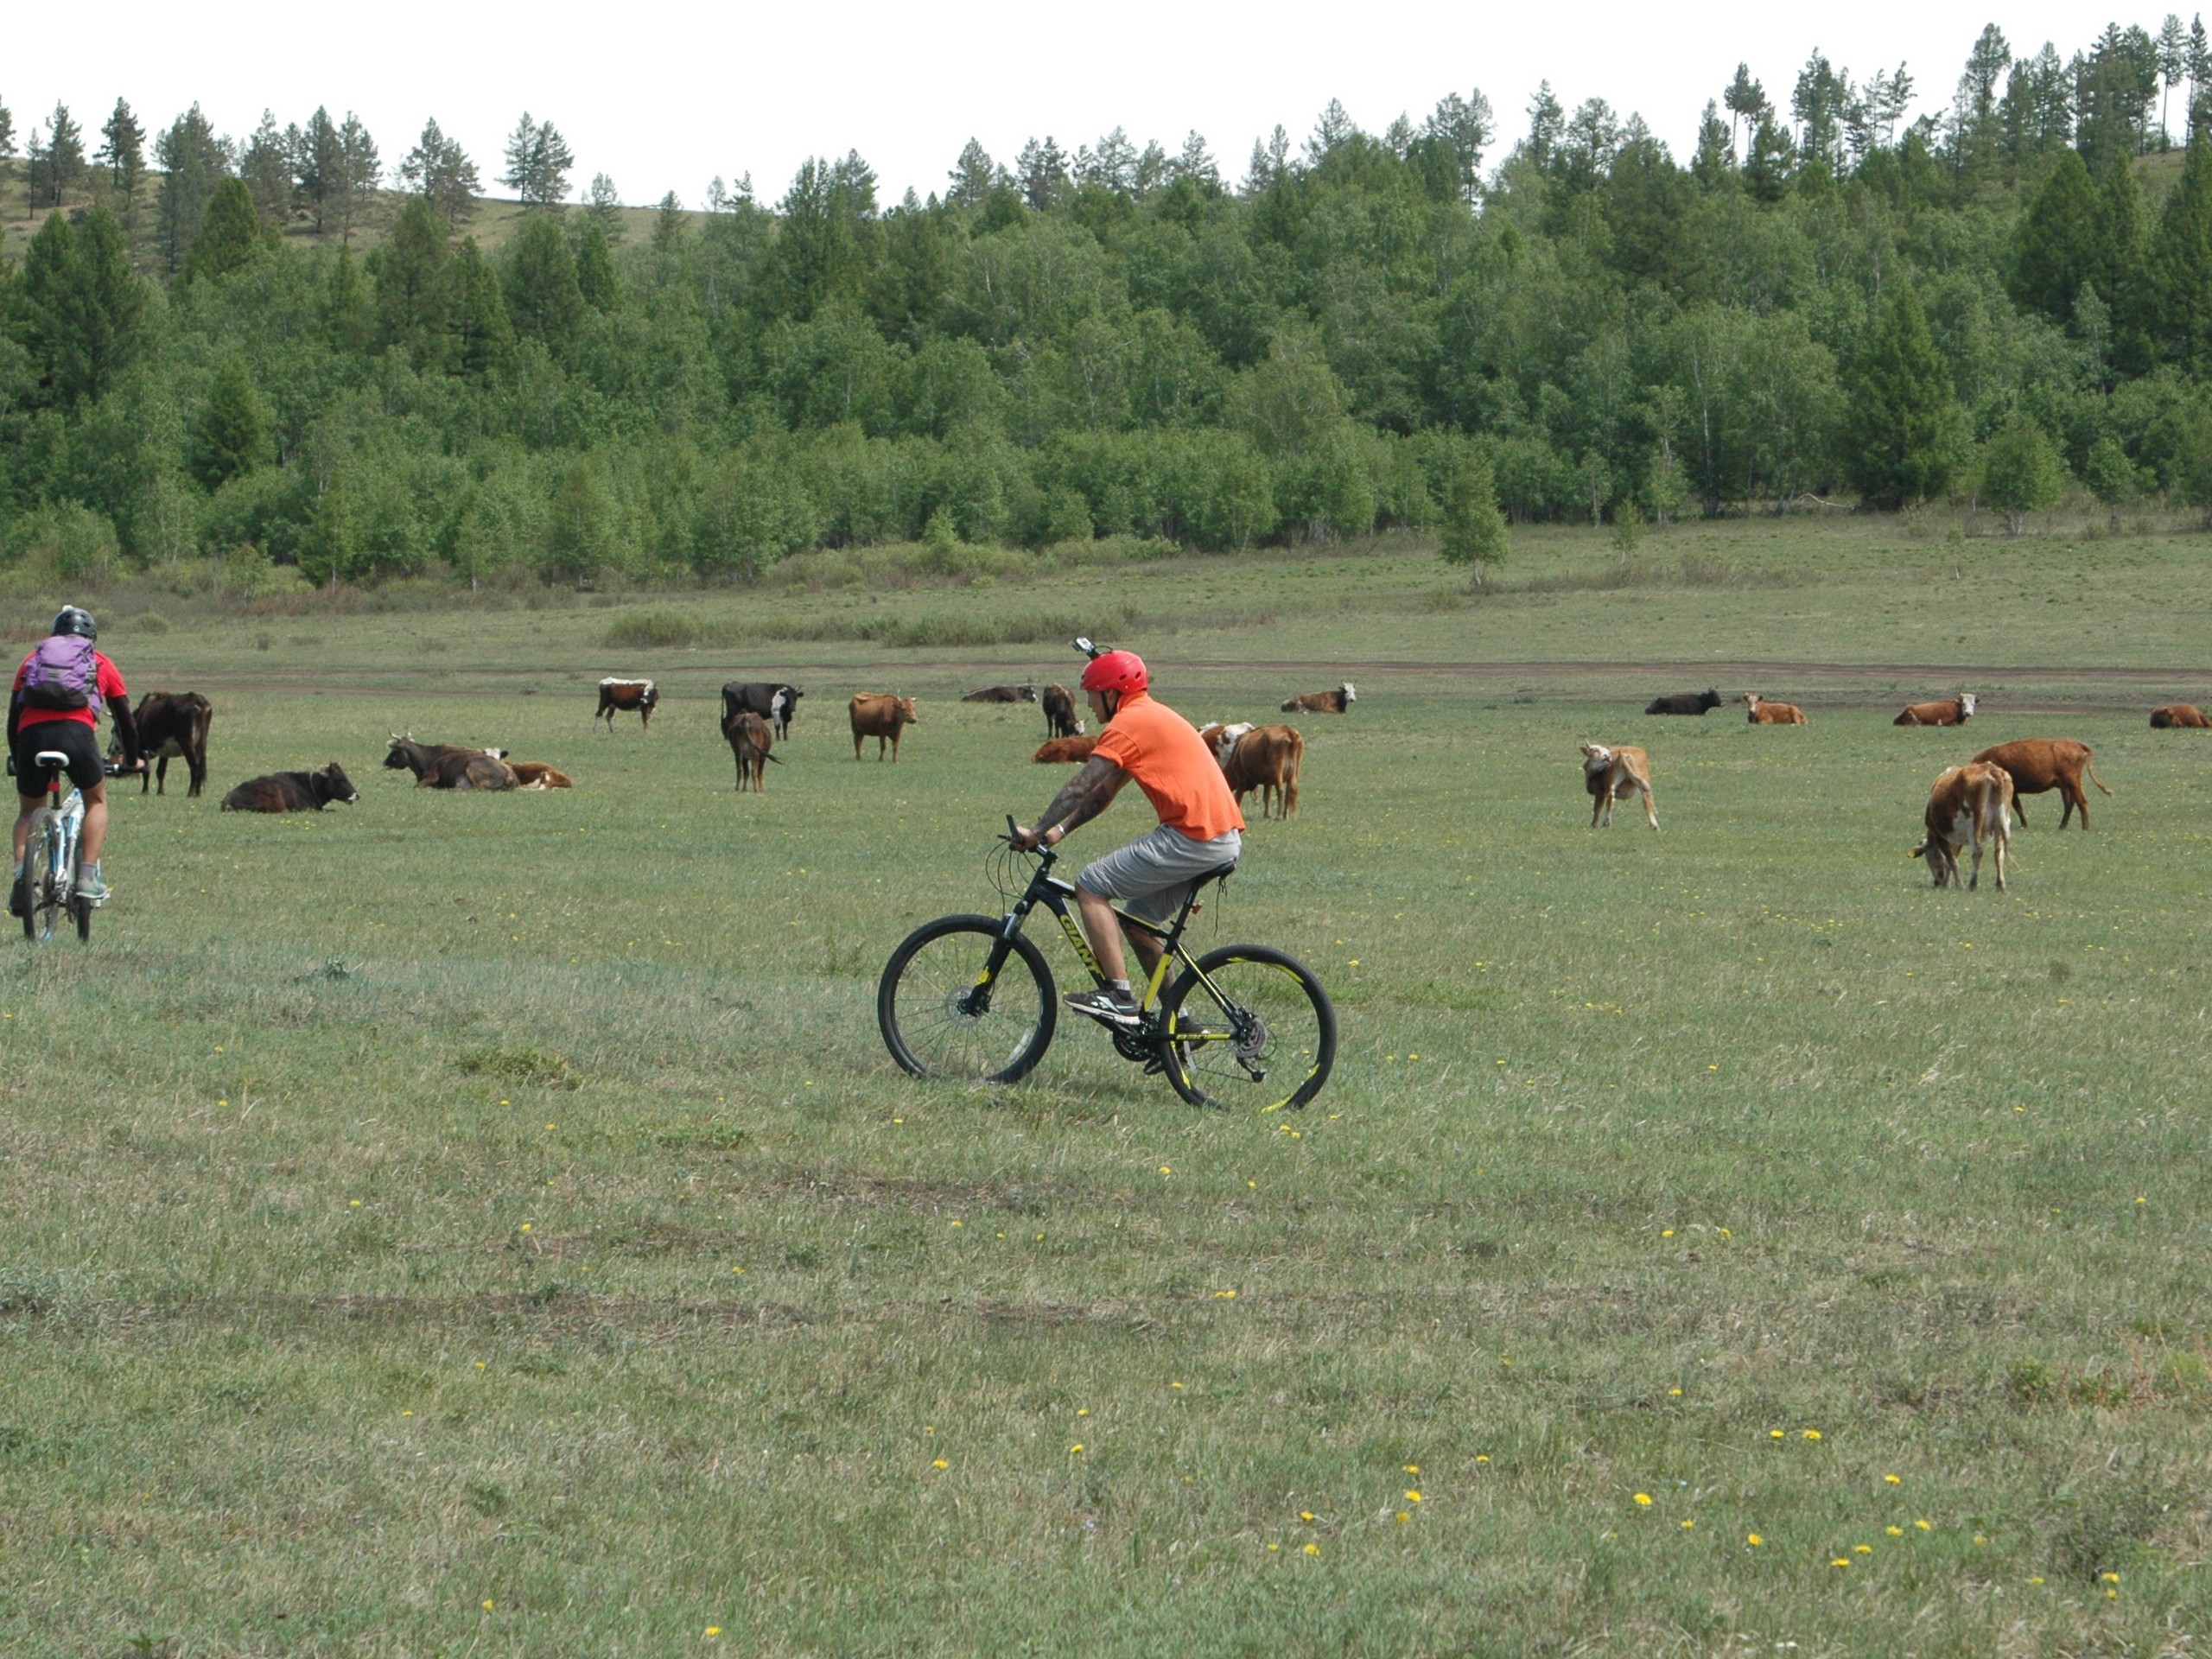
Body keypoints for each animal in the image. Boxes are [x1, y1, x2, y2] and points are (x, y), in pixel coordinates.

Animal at [111, 690, 213, 800]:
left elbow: (146, 771)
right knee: (201, 767)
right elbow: (161, 771)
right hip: (202, 743)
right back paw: (198, 793)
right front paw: (161, 792)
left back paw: (190, 793)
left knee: (195, 766)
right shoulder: (165, 752)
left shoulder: (145, 749)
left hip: (187, 744)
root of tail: (198, 700)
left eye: (114, 730)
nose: (110, 750)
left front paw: (145, 791)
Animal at [1910, 765, 2017, 898]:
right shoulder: (1958, 840)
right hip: (2001, 823)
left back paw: (1972, 885)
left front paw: (1955, 885)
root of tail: (1991, 769)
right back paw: (2000, 885)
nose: (1937, 882)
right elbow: (1952, 859)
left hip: (1974, 823)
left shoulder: (1939, 835)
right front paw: (1949, 883)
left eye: (1928, 857)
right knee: (1998, 852)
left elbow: (1952, 861)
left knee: (1978, 852)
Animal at [1981, 739, 2114, 831]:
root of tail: (2073, 743)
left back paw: (2084, 828)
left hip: (2073, 783)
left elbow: (2016, 808)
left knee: (2081, 802)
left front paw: (2023, 825)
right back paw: (2062, 827)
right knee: (2069, 804)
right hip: (2065, 787)